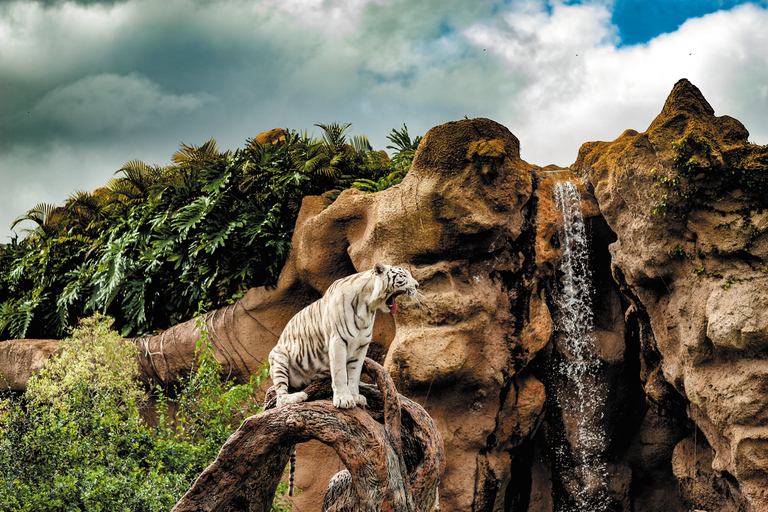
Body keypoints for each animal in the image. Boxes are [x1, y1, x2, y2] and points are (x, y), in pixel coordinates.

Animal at [268, 262, 416, 410]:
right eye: (403, 276)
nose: (417, 285)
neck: (368, 308)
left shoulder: (361, 346)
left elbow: (354, 374)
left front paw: (355, 397)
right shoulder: (338, 341)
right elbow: (340, 373)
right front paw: (343, 399)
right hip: (278, 354)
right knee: (280, 399)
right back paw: (299, 396)